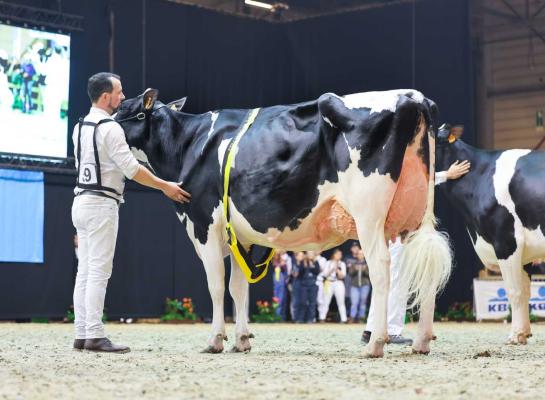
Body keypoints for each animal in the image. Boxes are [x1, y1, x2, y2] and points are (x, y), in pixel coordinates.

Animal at [116, 87, 450, 356]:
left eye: (122, 110)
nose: (101, 121)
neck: (188, 143)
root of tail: (412, 96)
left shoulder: (204, 225)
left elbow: (216, 285)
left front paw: (215, 340)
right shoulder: (240, 236)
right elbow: (239, 287)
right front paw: (241, 340)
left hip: (369, 215)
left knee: (381, 268)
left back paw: (376, 343)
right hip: (416, 215)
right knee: (425, 269)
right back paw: (421, 341)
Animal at [436, 126, 544, 346]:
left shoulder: (506, 242)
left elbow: (514, 291)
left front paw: (515, 335)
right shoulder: (525, 253)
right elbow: (526, 291)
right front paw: (524, 332)